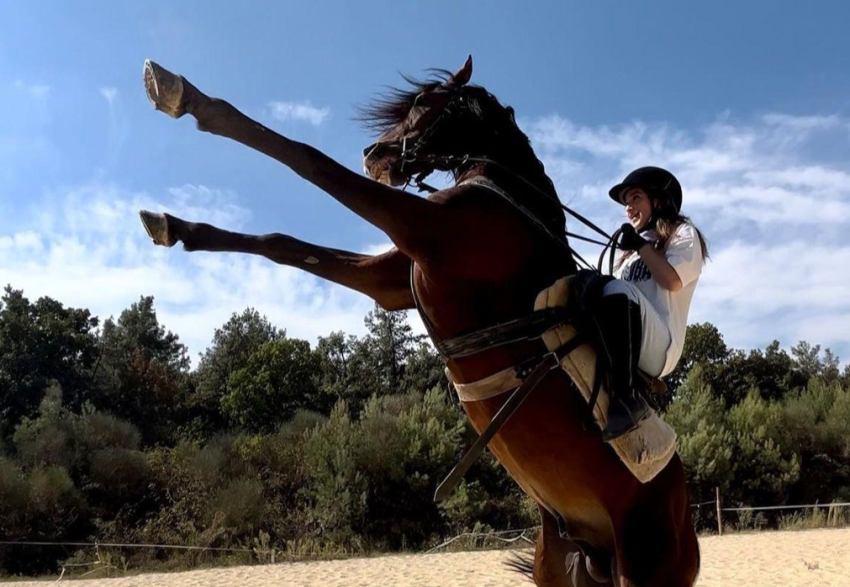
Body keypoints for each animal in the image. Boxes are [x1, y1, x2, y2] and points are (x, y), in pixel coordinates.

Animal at [137, 56, 696, 587]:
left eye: (426, 104)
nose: (374, 155)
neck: (506, 197)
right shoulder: (393, 280)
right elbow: (286, 243)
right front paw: (175, 226)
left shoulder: (424, 229)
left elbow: (308, 157)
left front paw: (187, 97)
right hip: (562, 566)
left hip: (641, 570)